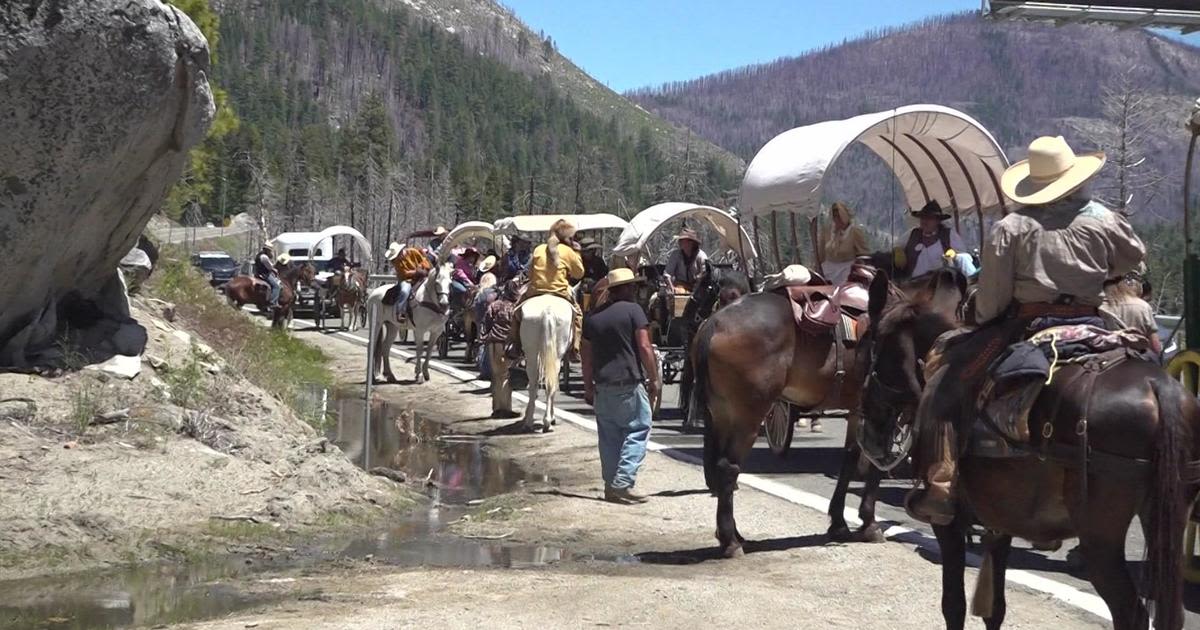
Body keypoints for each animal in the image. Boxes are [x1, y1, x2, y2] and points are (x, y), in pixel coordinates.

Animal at [518, 294, 573, 432]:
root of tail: (547, 312)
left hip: (532, 353)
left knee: (534, 384)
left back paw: (530, 421)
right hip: (554, 355)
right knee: (548, 384)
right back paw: (547, 421)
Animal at [859, 270, 1200, 628]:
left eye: (871, 342)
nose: (869, 431)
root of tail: (1157, 386)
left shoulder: (948, 523)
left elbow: (953, 604)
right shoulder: (999, 520)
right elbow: (995, 607)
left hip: (1101, 539)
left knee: (1130, 612)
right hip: (1167, 518)